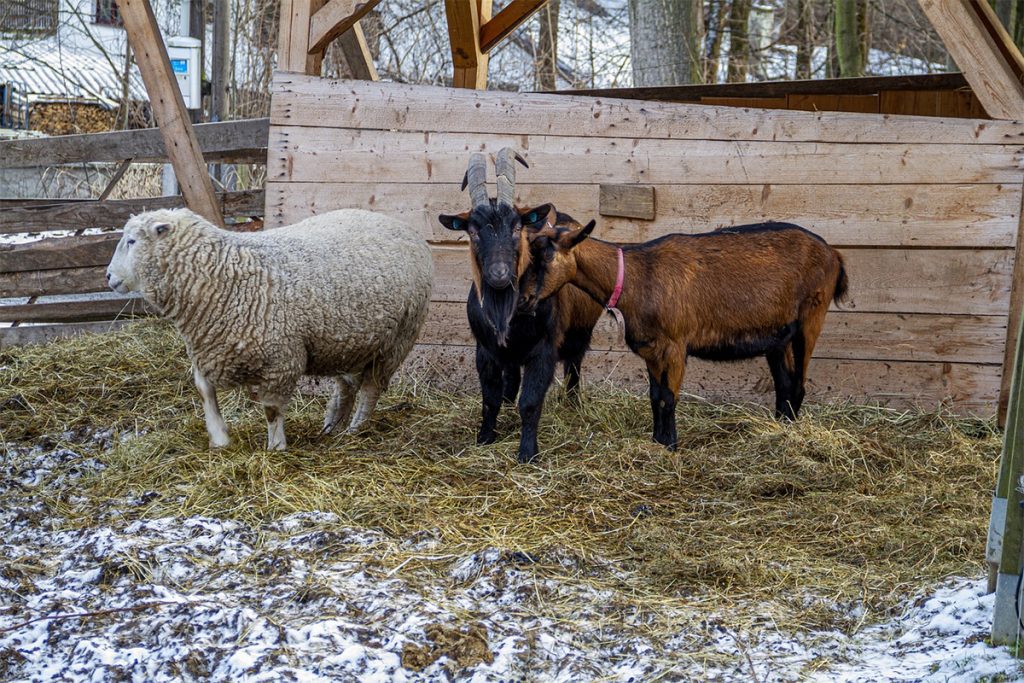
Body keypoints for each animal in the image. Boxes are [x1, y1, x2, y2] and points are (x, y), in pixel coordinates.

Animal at [105, 208, 433, 451]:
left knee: (370, 389)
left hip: (396, 343)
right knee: (346, 386)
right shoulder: (210, 349)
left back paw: (355, 429)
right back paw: (332, 426)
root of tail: (402, 226)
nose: (108, 276)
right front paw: (219, 437)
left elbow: (272, 410)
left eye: (132, 241)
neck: (220, 274)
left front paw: (276, 447)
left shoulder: (280, 360)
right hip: (351, 342)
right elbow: (204, 390)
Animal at [437, 150, 603, 463]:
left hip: (580, 331)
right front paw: (485, 438)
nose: (499, 274)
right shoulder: (485, 349)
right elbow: (489, 399)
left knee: (574, 367)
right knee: (512, 377)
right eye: (473, 231)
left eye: (516, 227)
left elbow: (530, 402)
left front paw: (527, 452)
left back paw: (572, 404)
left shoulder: (545, 348)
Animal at [520, 207, 849, 450]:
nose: (523, 299)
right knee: (784, 383)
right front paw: (657, 441)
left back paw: (789, 431)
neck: (638, 278)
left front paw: (671, 445)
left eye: (547, 256)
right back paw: (779, 427)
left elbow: (669, 398)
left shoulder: (676, 346)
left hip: (810, 319)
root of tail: (834, 254)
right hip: (778, 336)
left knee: (799, 384)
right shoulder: (652, 350)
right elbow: (655, 396)